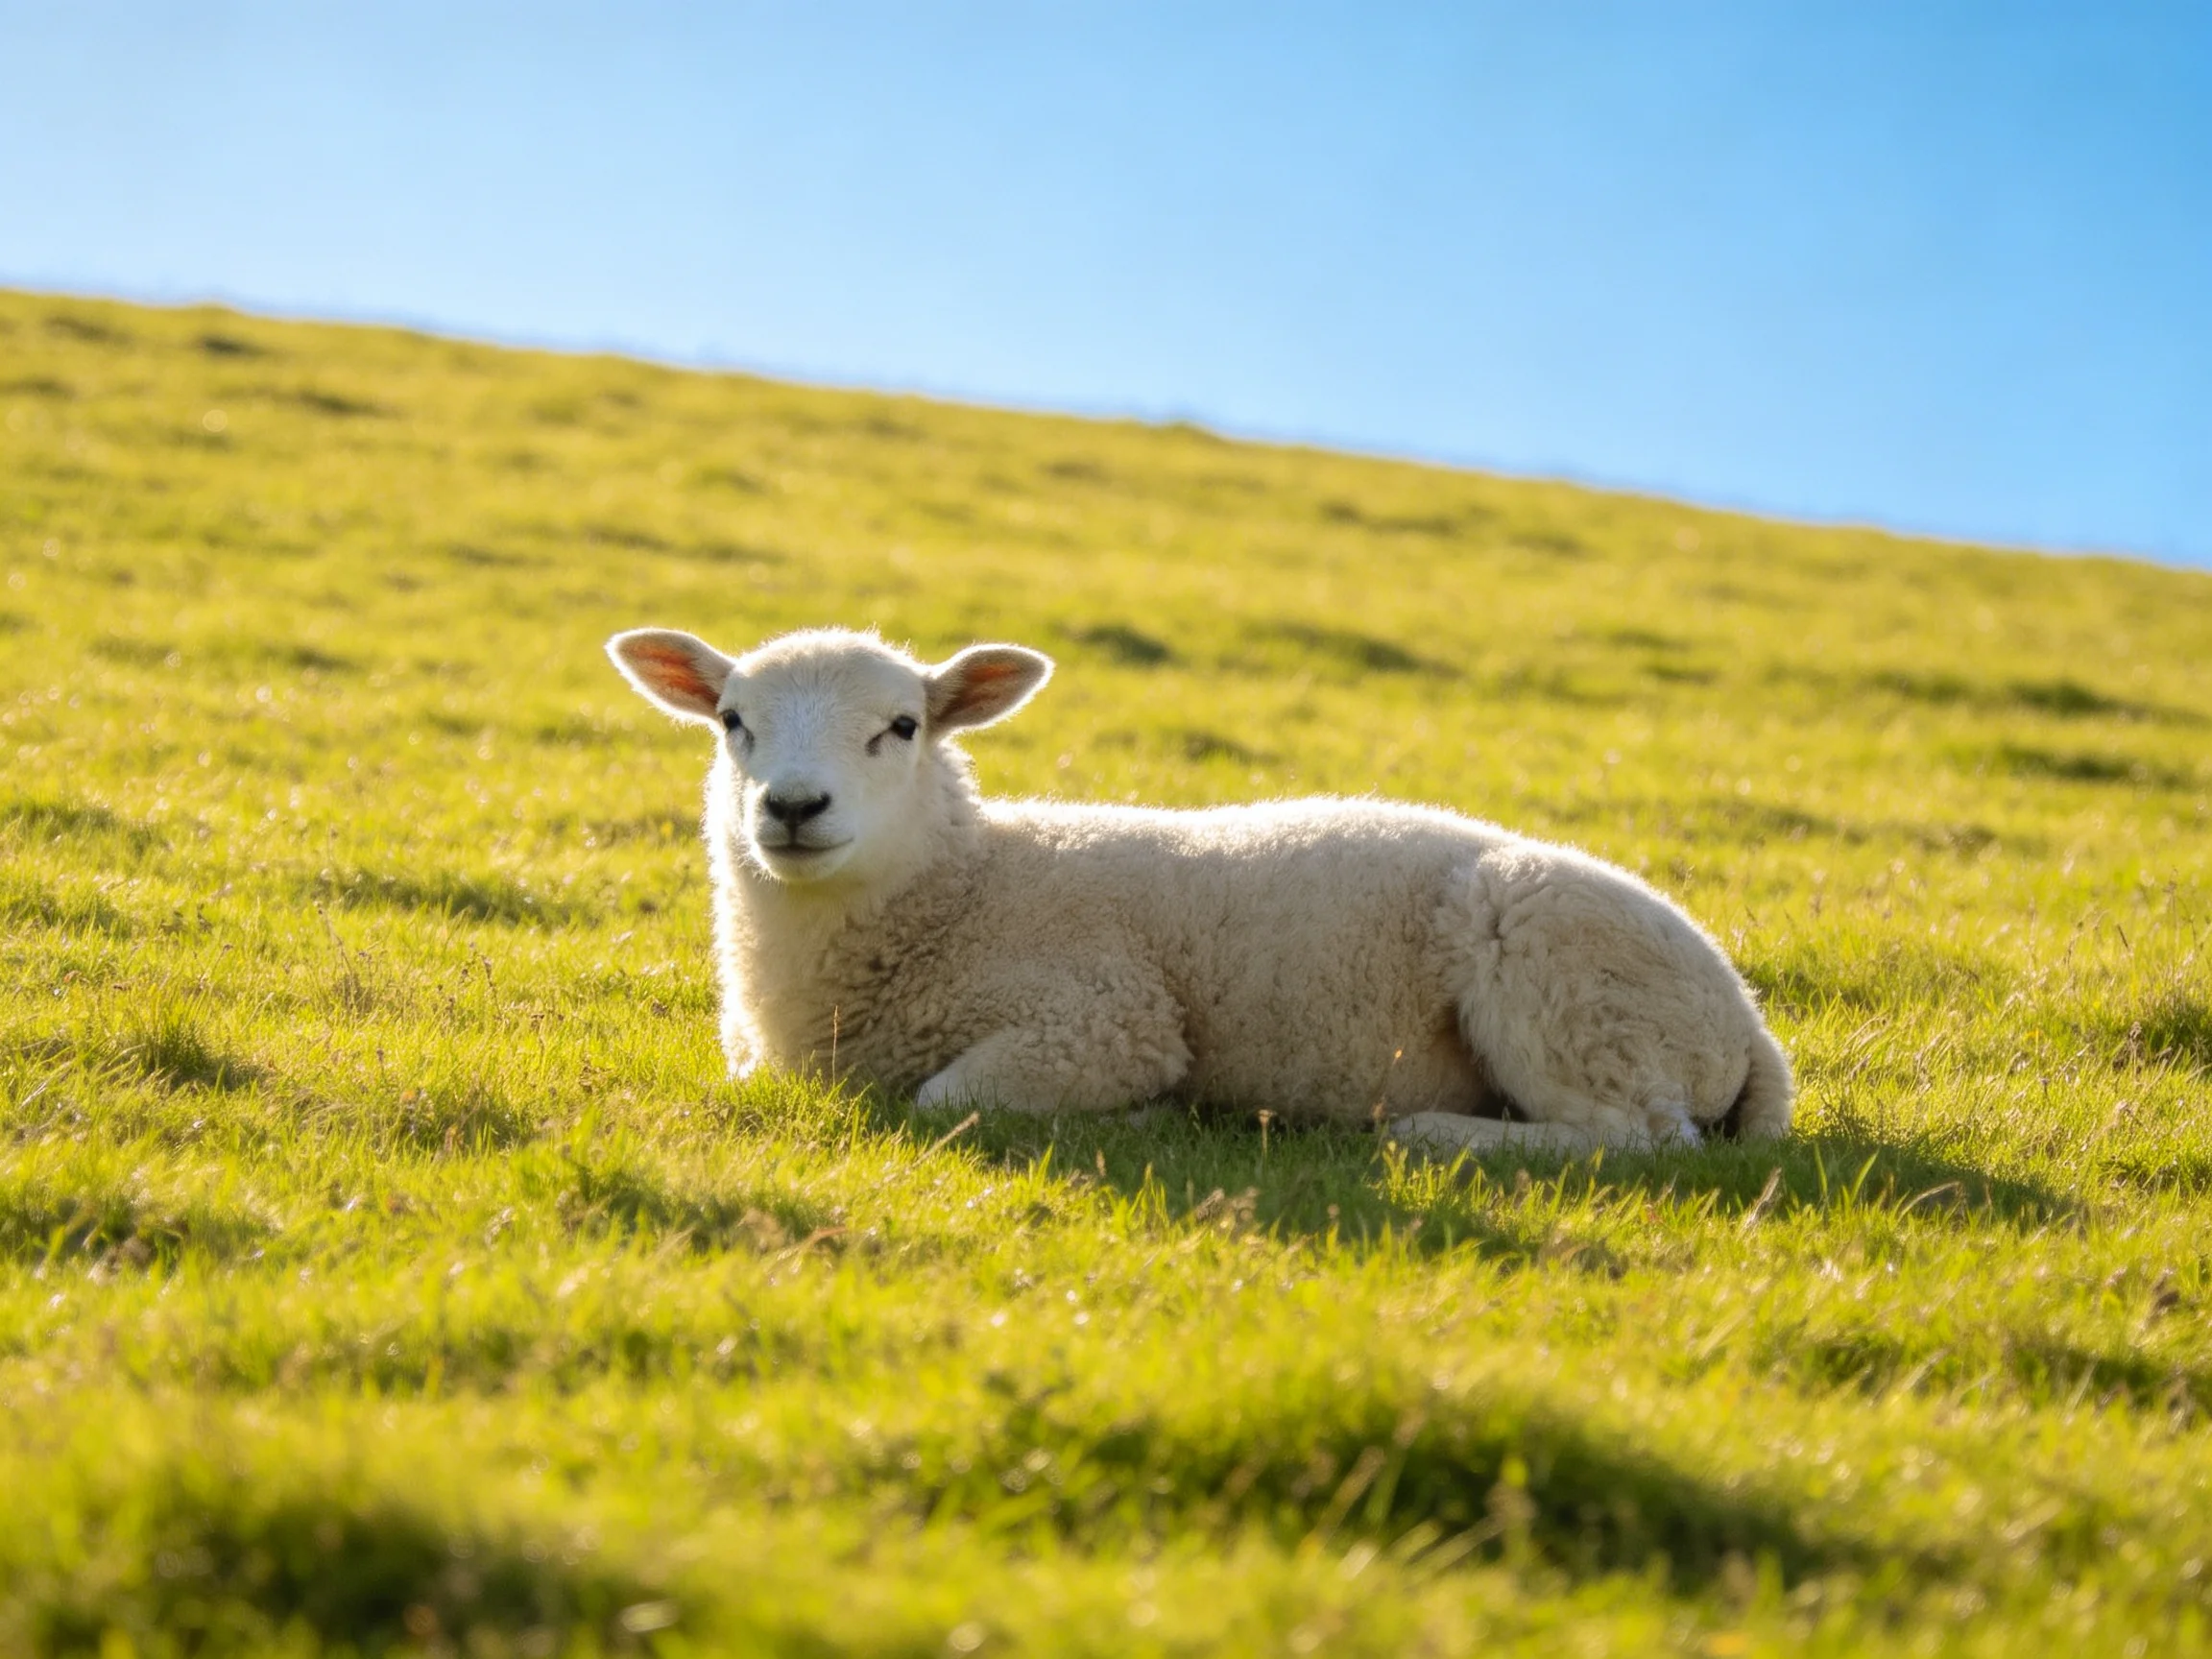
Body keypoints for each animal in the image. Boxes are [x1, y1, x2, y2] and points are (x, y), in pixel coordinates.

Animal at [605, 625, 1793, 1153]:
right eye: (731, 721)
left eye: (901, 727)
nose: (793, 807)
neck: (966, 883)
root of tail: (1748, 1022)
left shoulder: (1102, 1018)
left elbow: (946, 1099)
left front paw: (1145, 1118)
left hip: (1559, 976)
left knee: (1643, 1137)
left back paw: (1435, 1133)